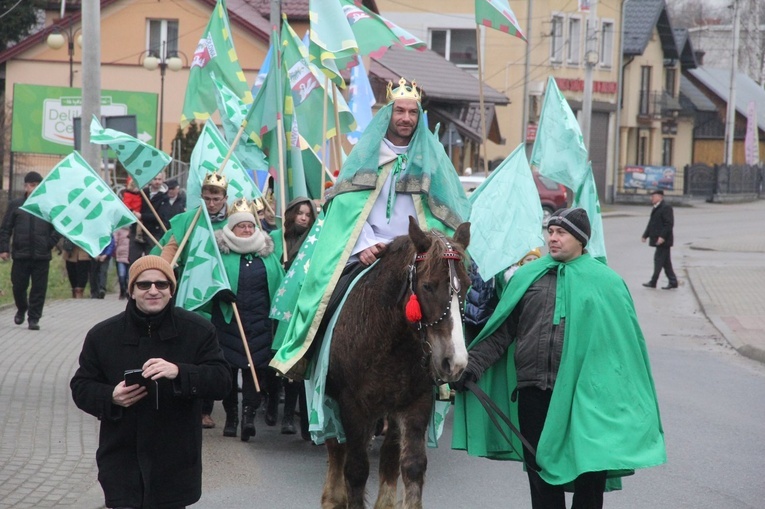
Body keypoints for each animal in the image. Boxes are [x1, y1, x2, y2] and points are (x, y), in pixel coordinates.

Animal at [320, 216, 468, 506]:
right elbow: (356, 470)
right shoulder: (352, 406)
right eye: (427, 286)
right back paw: (333, 497)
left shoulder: (416, 402)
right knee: (336, 448)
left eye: (467, 286)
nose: (454, 362)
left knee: (388, 456)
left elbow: (412, 465)